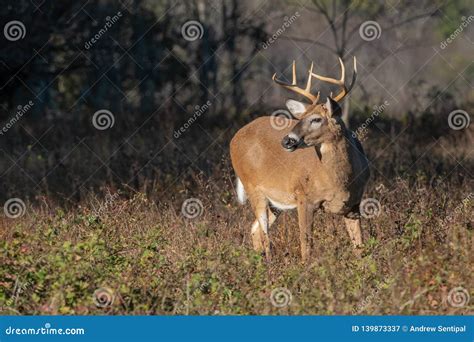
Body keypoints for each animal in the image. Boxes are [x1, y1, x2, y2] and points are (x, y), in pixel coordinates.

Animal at [230, 57, 370, 264]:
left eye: (316, 119)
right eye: (300, 117)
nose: (287, 140)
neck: (342, 180)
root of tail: (234, 138)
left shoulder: (354, 204)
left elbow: (359, 246)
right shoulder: (304, 197)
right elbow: (306, 245)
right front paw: (305, 269)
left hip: (275, 201)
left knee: (254, 229)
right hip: (252, 186)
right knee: (264, 233)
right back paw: (269, 265)